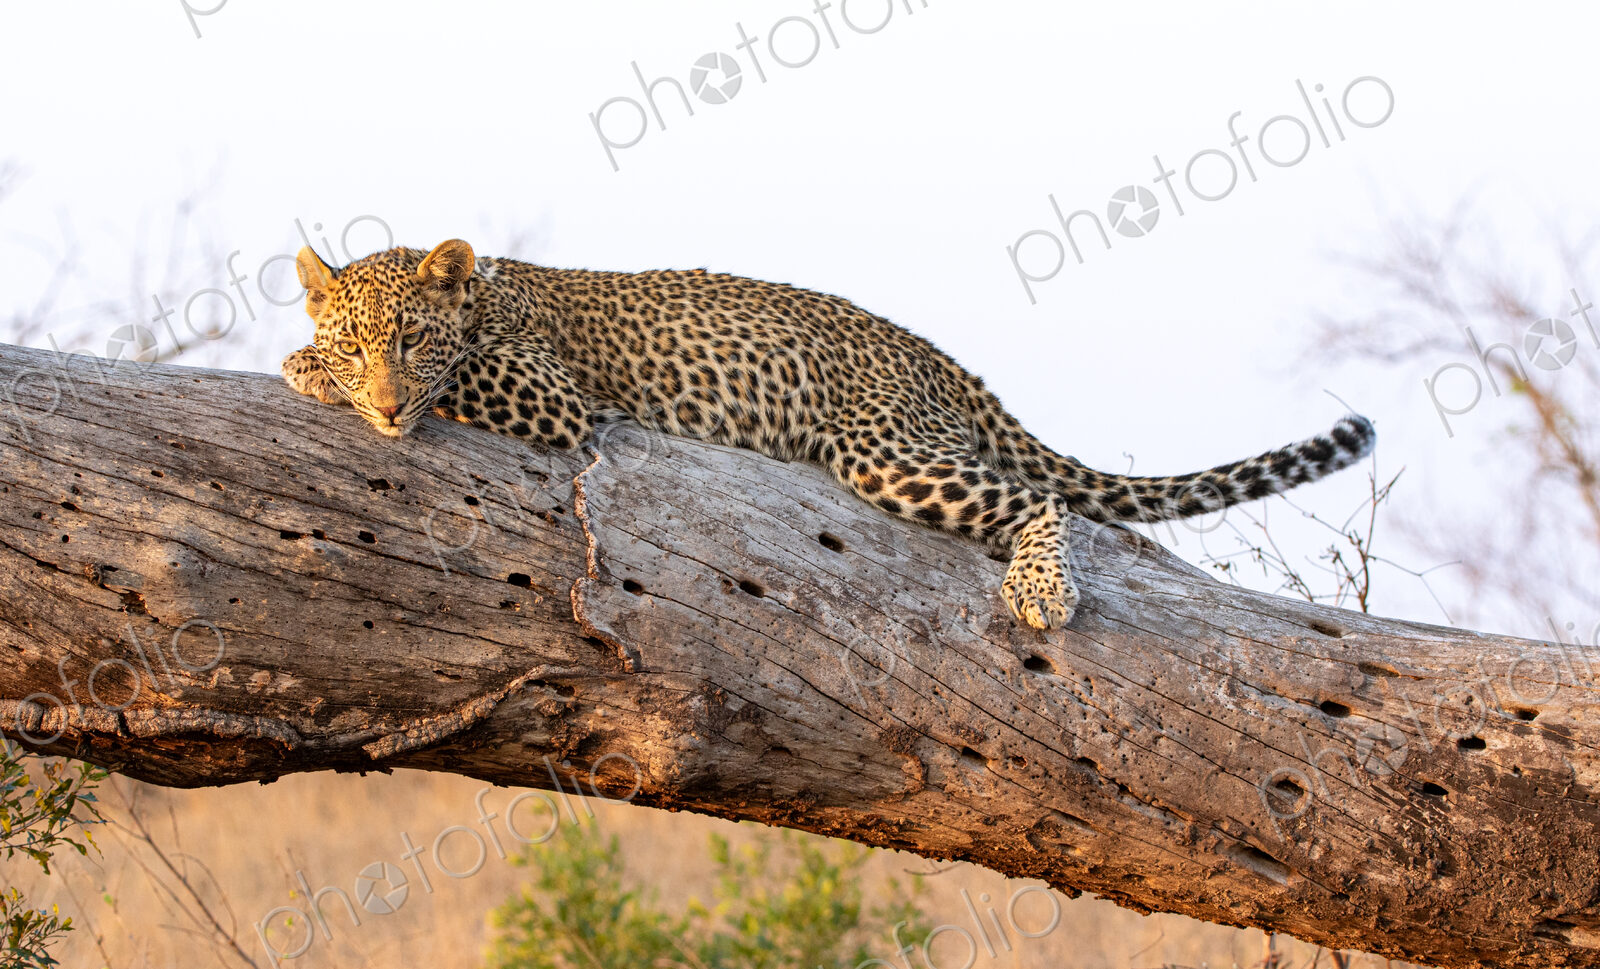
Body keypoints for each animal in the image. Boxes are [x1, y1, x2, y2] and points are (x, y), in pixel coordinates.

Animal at [281, 239, 1376, 631]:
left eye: (412, 342)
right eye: (359, 341)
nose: (385, 406)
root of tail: (924, 350)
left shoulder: (552, 396)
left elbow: (468, 377)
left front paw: (301, 369)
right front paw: (309, 363)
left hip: (882, 446)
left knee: (1043, 500)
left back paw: (1039, 593)